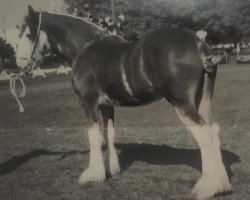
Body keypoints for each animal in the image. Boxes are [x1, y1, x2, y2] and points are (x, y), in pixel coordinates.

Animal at [16, 5, 232, 199]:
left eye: (27, 34)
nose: (19, 63)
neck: (85, 48)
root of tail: (198, 42)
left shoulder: (88, 102)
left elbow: (94, 137)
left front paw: (93, 174)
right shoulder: (107, 105)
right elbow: (109, 134)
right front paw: (112, 169)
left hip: (182, 103)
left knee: (204, 133)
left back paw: (207, 187)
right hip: (203, 100)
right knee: (213, 130)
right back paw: (222, 184)